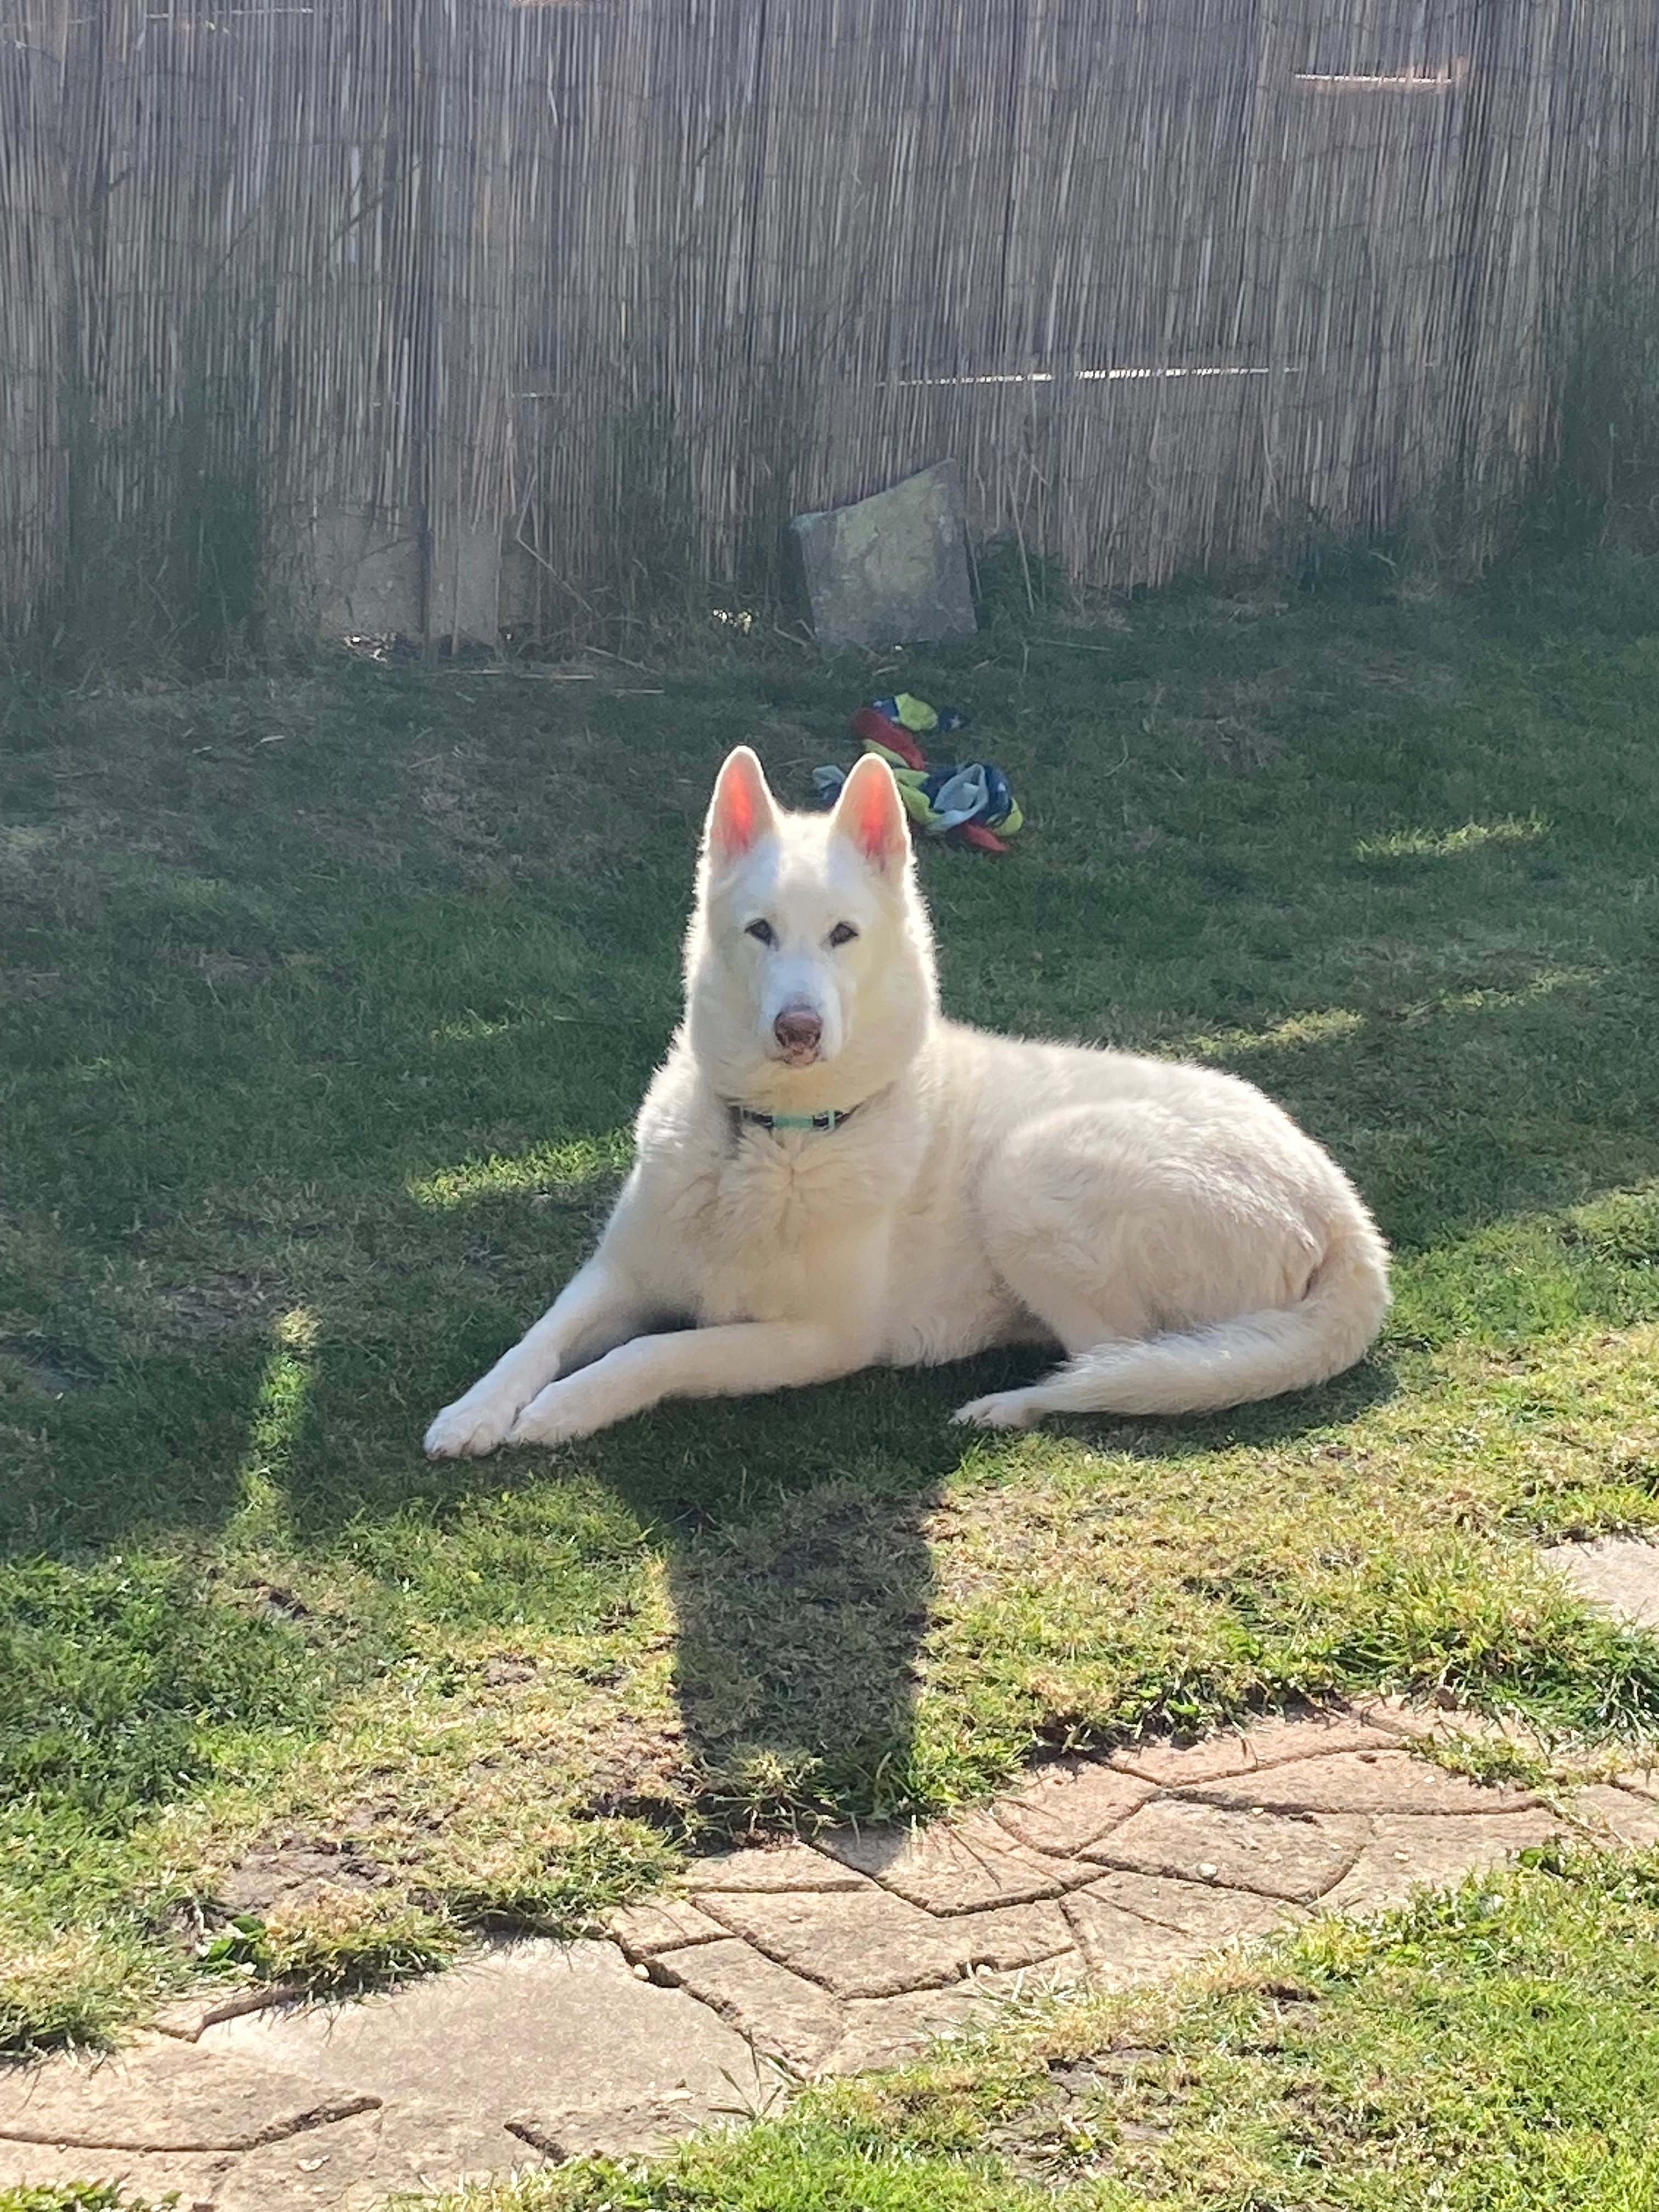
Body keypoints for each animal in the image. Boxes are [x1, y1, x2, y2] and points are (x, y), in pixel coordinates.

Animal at [424, 746, 1388, 1458]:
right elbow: (537, 1338)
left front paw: (565, 1407)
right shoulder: (617, 1275)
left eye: (843, 935)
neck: (771, 1140)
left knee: (1113, 1361)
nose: (800, 1029)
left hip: (1028, 1174)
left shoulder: (817, 1340)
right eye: (761, 932)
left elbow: (656, 1348)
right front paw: (477, 1410)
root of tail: (1348, 1218)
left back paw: (1013, 1403)